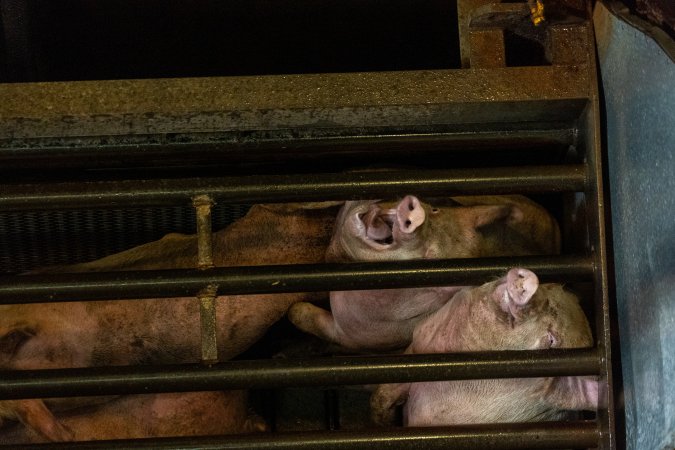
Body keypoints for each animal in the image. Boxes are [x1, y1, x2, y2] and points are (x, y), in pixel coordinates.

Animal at [288, 193, 564, 352]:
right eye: (434, 210)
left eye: (431, 257)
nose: (415, 215)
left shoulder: (357, 336)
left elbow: (300, 314)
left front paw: (295, 309)